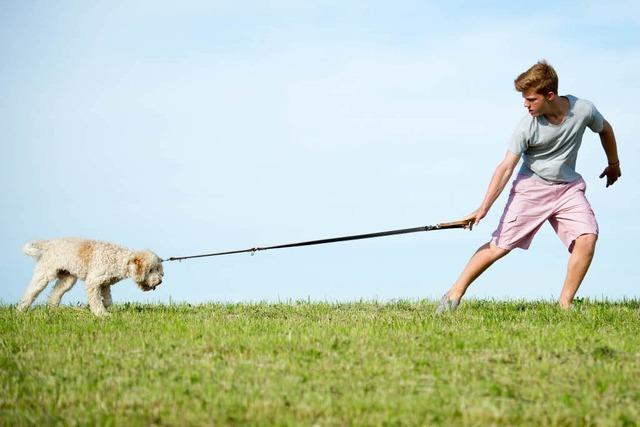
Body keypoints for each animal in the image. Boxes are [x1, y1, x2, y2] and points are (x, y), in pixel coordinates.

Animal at [18, 239, 164, 316]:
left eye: (158, 269)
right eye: (151, 270)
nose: (160, 281)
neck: (119, 259)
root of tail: (49, 244)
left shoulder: (105, 284)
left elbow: (107, 300)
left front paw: (104, 308)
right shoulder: (93, 282)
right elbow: (95, 300)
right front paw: (101, 314)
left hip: (67, 279)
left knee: (56, 293)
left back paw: (53, 309)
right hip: (44, 274)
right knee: (31, 292)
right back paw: (20, 310)